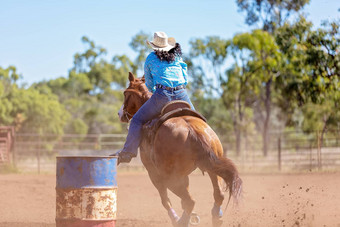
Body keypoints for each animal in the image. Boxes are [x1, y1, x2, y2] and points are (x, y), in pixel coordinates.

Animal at [117, 72, 242, 227]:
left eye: (125, 93)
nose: (120, 114)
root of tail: (192, 129)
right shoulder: (183, 175)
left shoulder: (153, 173)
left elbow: (166, 201)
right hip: (212, 167)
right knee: (217, 195)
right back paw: (215, 217)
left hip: (169, 177)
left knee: (190, 201)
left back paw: (181, 221)